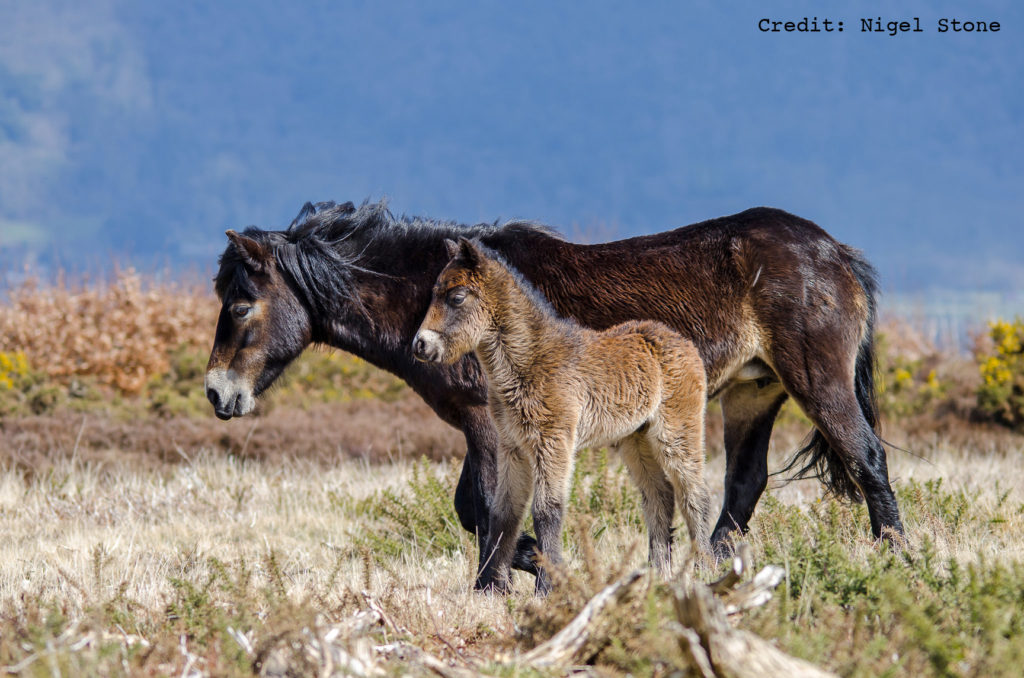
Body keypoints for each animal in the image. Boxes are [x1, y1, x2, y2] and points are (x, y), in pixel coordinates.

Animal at [205, 199, 905, 577]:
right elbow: (479, 511)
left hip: (815, 381)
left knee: (866, 457)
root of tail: (835, 253)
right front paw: (537, 567)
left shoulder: (489, 427)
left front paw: (518, 577)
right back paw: (709, 568)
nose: (217, 394)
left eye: (239, 305)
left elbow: (486, 511)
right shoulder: (491, 429)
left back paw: (897, 558)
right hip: (753, 393)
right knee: (743, 484)